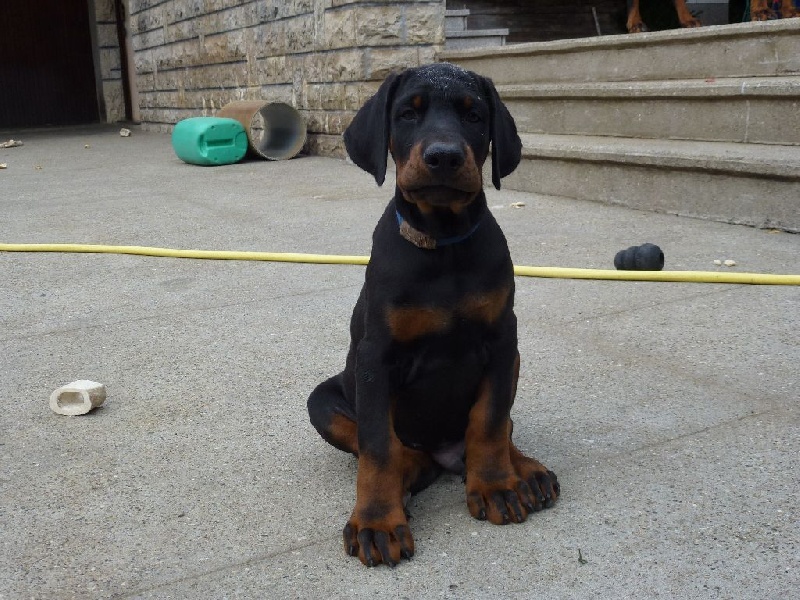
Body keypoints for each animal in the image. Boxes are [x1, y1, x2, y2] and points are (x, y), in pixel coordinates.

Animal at [307, 63, 559, 567]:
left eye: (475, 116)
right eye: (408, 113)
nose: (444, 157)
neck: (444, 244)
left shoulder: (502, 342)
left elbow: (490, 419)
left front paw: (497, 485)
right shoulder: (376, 357)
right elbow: (377, 445)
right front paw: (377, 521)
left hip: (514, 362)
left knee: (502, 427)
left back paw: (524, 469)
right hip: (321, 401)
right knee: (388, 446)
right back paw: (411, 473)